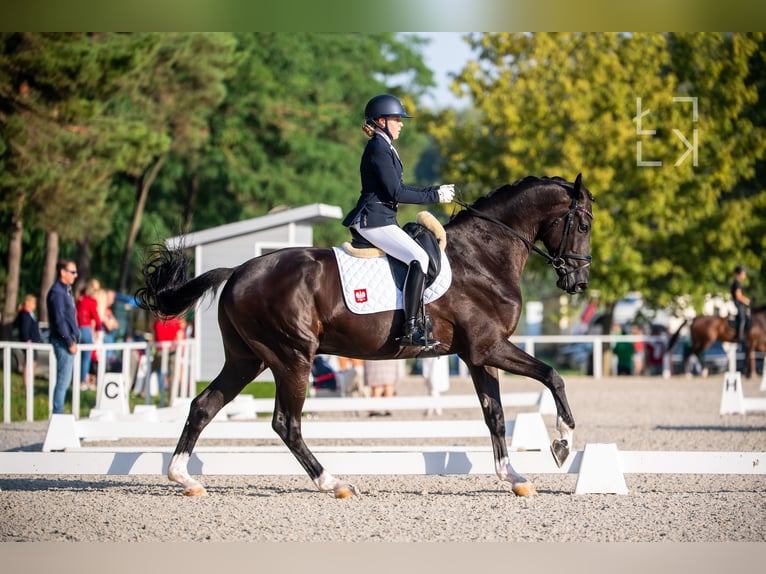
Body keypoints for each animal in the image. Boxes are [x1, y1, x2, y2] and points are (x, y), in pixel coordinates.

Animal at [136, 174, 594, 498]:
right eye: (585, 223)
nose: (579, 282)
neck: (483, 256)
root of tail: (236, 273)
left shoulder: (478, 355)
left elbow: (495, 415)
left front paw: (514, 476)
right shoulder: (491, 347)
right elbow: (553, 376)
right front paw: (563, 444)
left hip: (248, 359)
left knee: (204, 405)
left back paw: (183, 478)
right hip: (291, 357)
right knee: (286, 423)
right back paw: (334, 483)